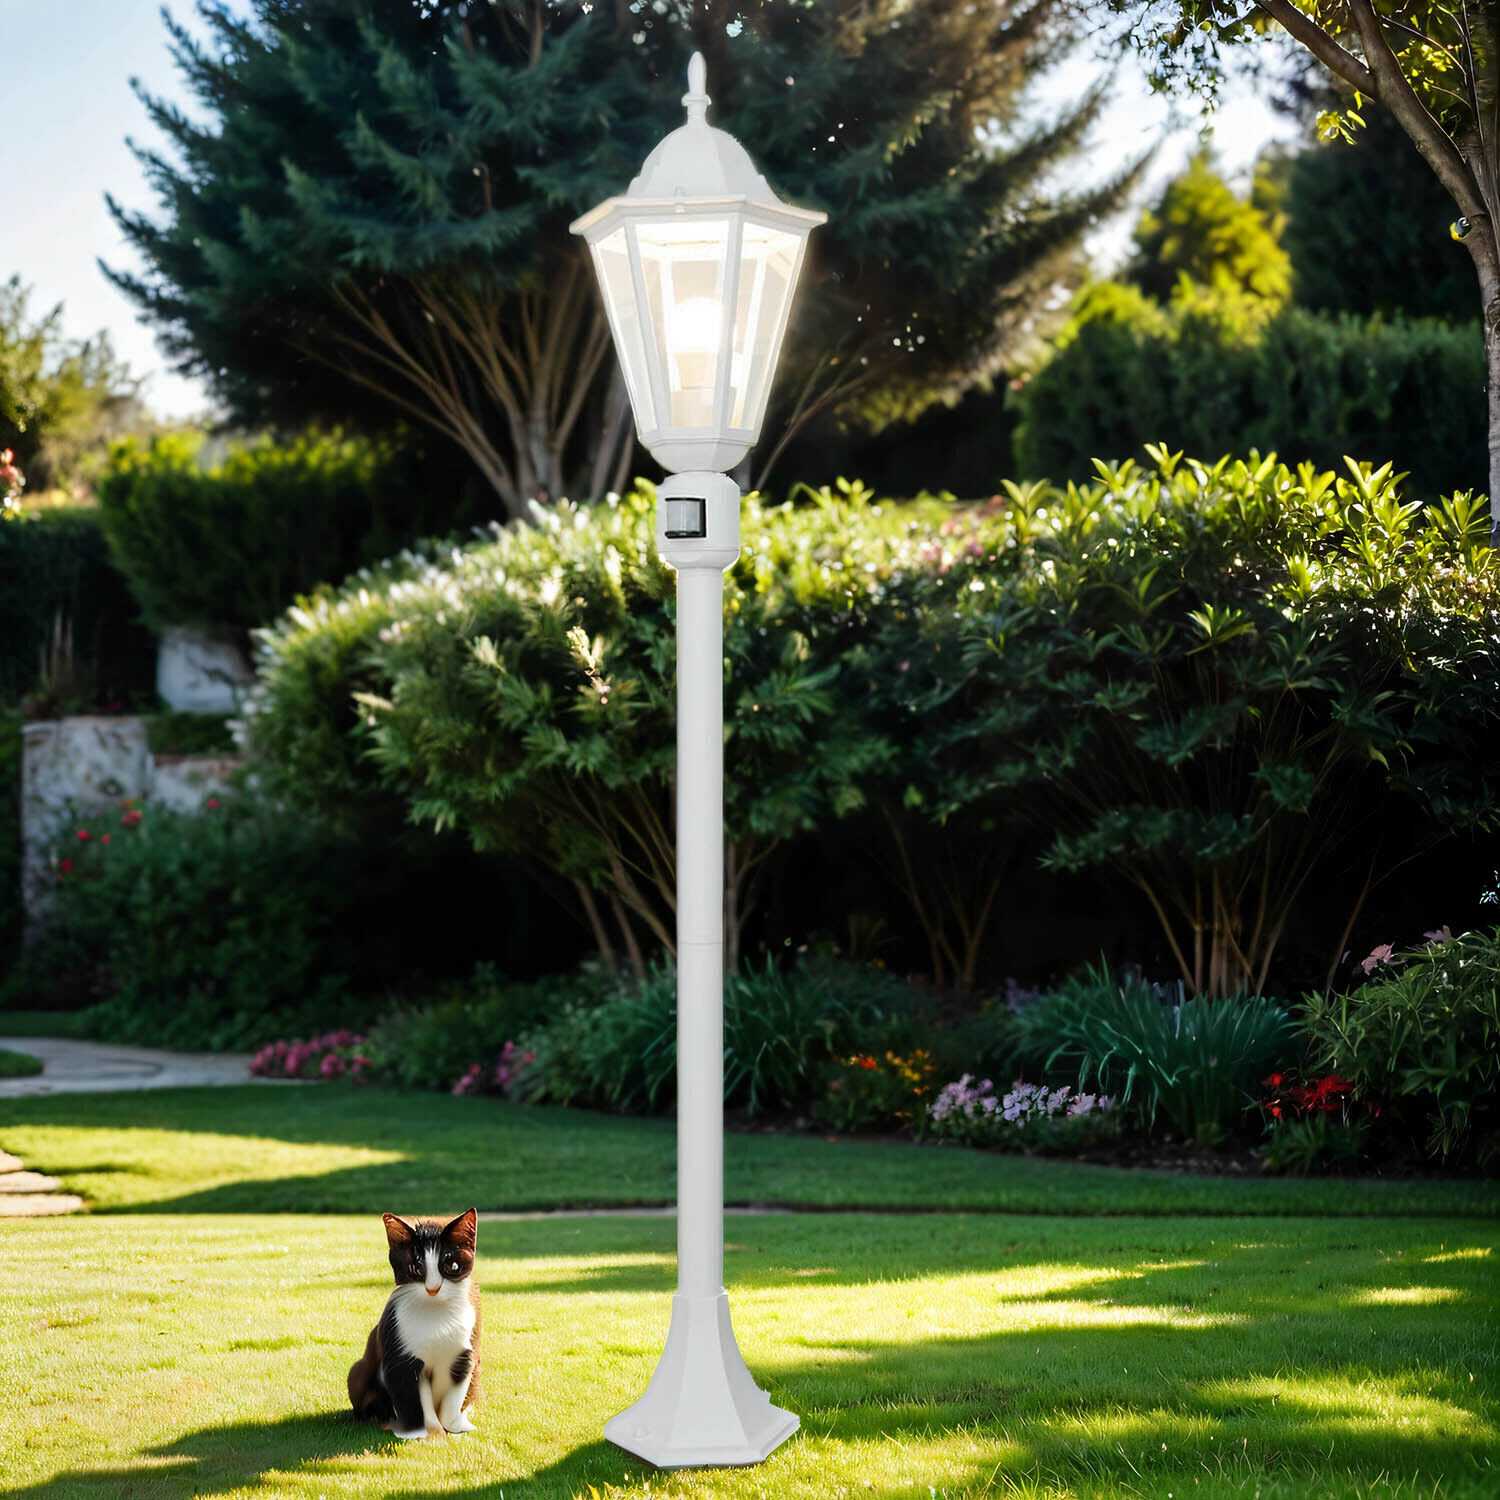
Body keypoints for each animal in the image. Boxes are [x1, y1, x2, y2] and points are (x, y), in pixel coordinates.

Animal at [348, 1206, 483, 1440]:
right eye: (416, 1268)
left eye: (452, 1265)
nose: (433, 1288)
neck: (435, 1314)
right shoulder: (402, 1355)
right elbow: (416, 1398)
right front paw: (432, 1434)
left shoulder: (465, 1352)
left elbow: (455, 1394)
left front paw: (455, 1426)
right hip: (360, 1370)